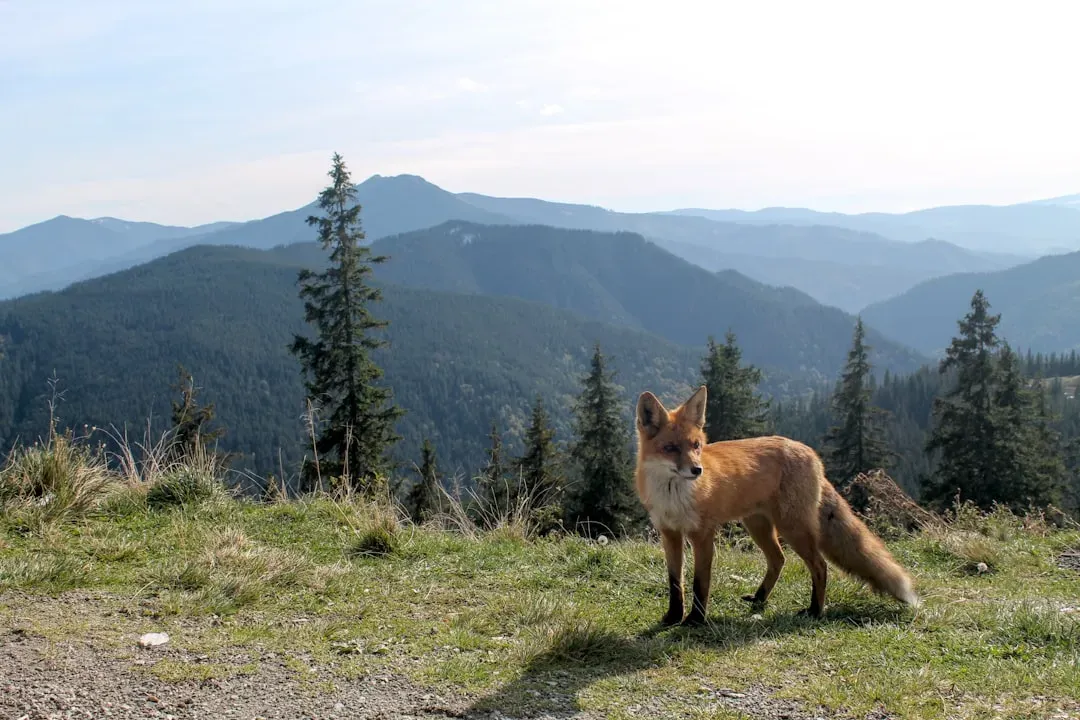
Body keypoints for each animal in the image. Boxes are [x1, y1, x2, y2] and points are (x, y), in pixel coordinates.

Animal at [635, 384, 919, 626]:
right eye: (670, 448)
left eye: (696, 445)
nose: (697, 470)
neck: (673, 496)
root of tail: (811, 453)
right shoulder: (670, 534)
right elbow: (675, 582)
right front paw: (673, 617)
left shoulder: (702, 534)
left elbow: (699, 582)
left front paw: (695, 620)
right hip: (758, 526)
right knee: (778, 560)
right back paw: (760, 599)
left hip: (792, 528)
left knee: (820, 565)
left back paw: (815, 611)